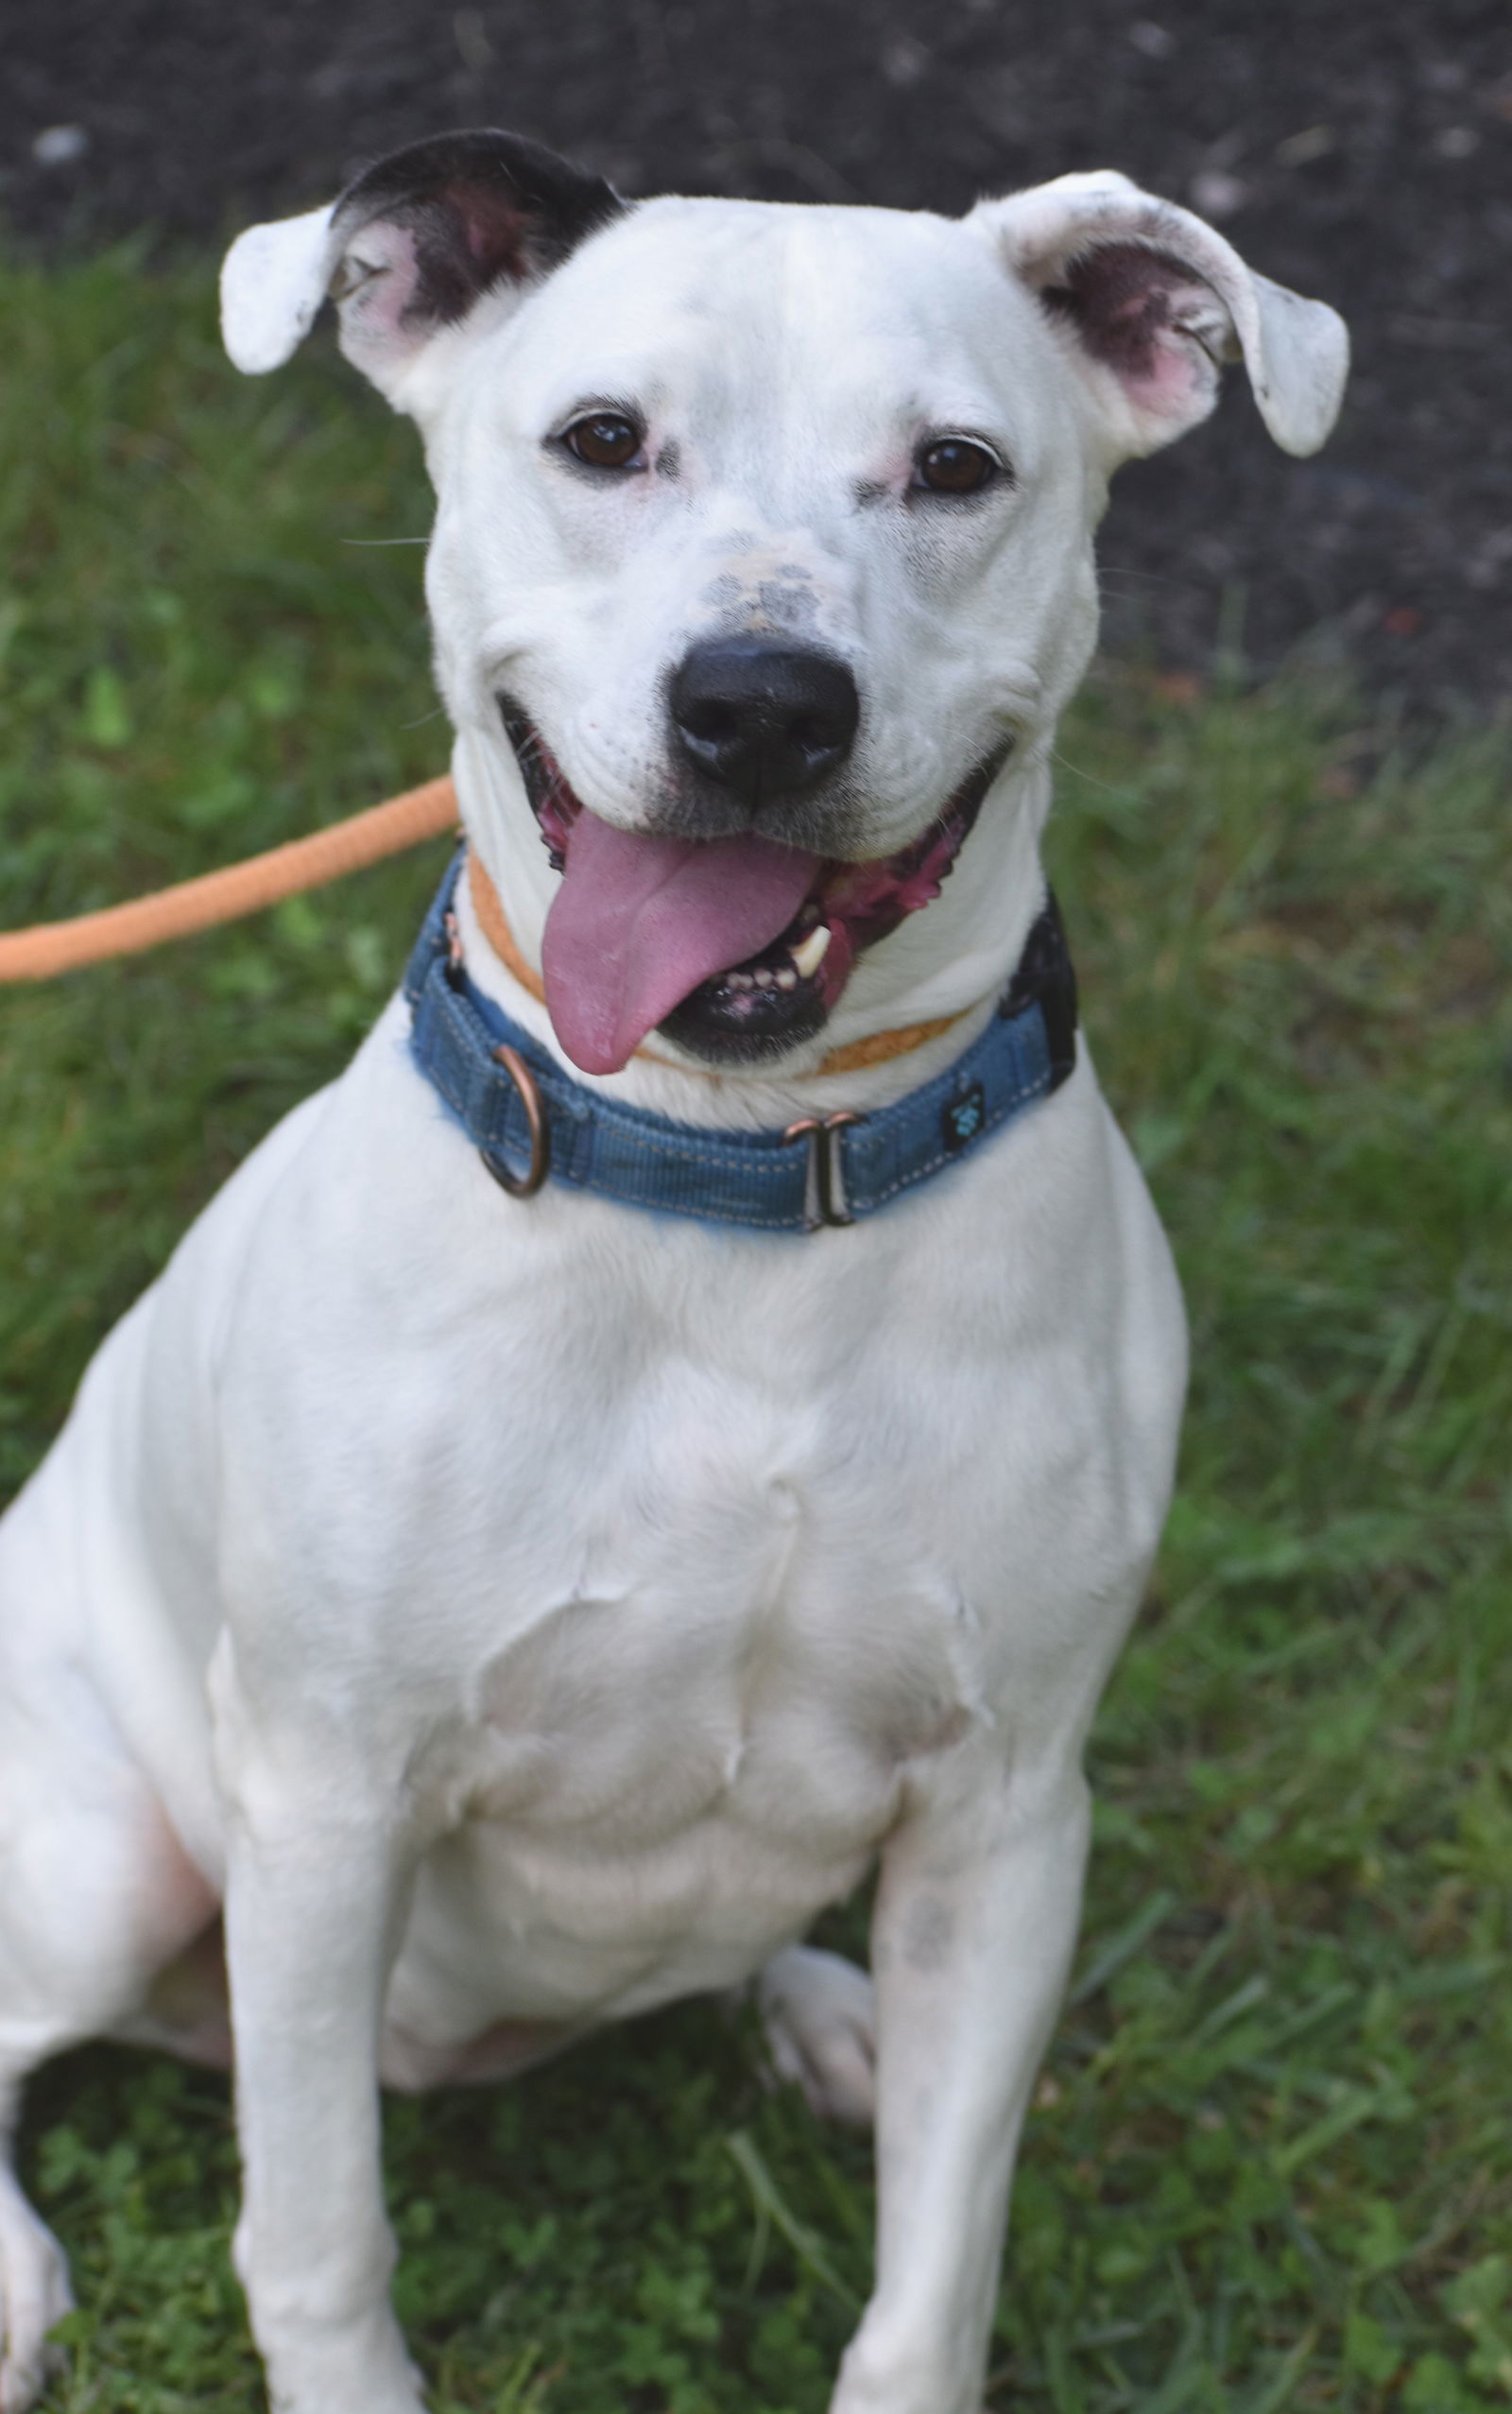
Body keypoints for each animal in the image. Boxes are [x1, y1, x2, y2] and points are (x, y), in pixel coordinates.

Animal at [0, 131, 1343, 2414]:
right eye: (603, 440)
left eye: (956, 465)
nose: (758, 705)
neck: (734, 1187)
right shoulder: (325, 1800)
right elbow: (319, 2235)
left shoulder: (1006, 1818)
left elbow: (931, 2280)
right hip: (102, 1855)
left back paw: (817, 2001)